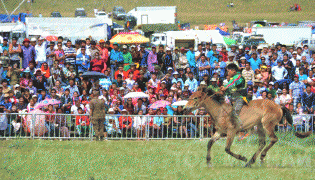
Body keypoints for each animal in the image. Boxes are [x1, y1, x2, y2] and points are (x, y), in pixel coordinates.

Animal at [184, 88, 312, 167]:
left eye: (196, 98)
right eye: (191, 96)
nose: (185, 108)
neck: (220, 111)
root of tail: (279, 106)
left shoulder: (231, 132)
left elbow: (227, 149)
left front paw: (242, 158)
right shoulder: (220, 132)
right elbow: (209, 143)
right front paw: (209, 162)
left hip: (267, 125)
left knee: (273, 139)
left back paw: (256, 158)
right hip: (260, 126)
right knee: (262, 143)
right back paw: (251, 161)